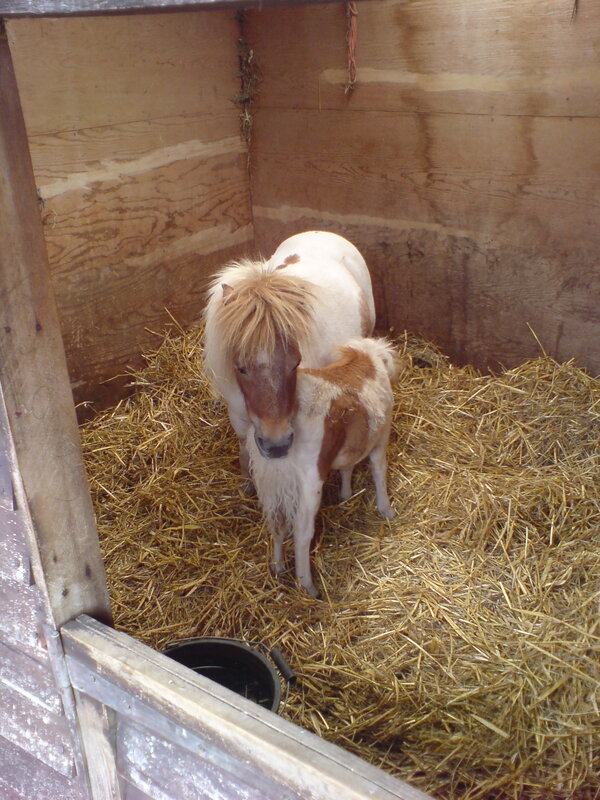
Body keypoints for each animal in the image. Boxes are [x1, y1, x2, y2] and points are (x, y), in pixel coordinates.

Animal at [202, 231, 376, 478]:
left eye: (296, 363)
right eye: (241, 368)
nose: (277, 446)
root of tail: (321, 233)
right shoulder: (238, 416)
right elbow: (245, 454)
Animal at [247, 337, 399, 597]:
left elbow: (348, 466)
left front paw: (346, 494)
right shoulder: (381, 436)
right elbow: (379, 470)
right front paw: (386, 510)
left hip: (269, 482)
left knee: (276, 522)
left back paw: (278, 567)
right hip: (309, 481)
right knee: (302, 531)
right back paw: (308, 586)